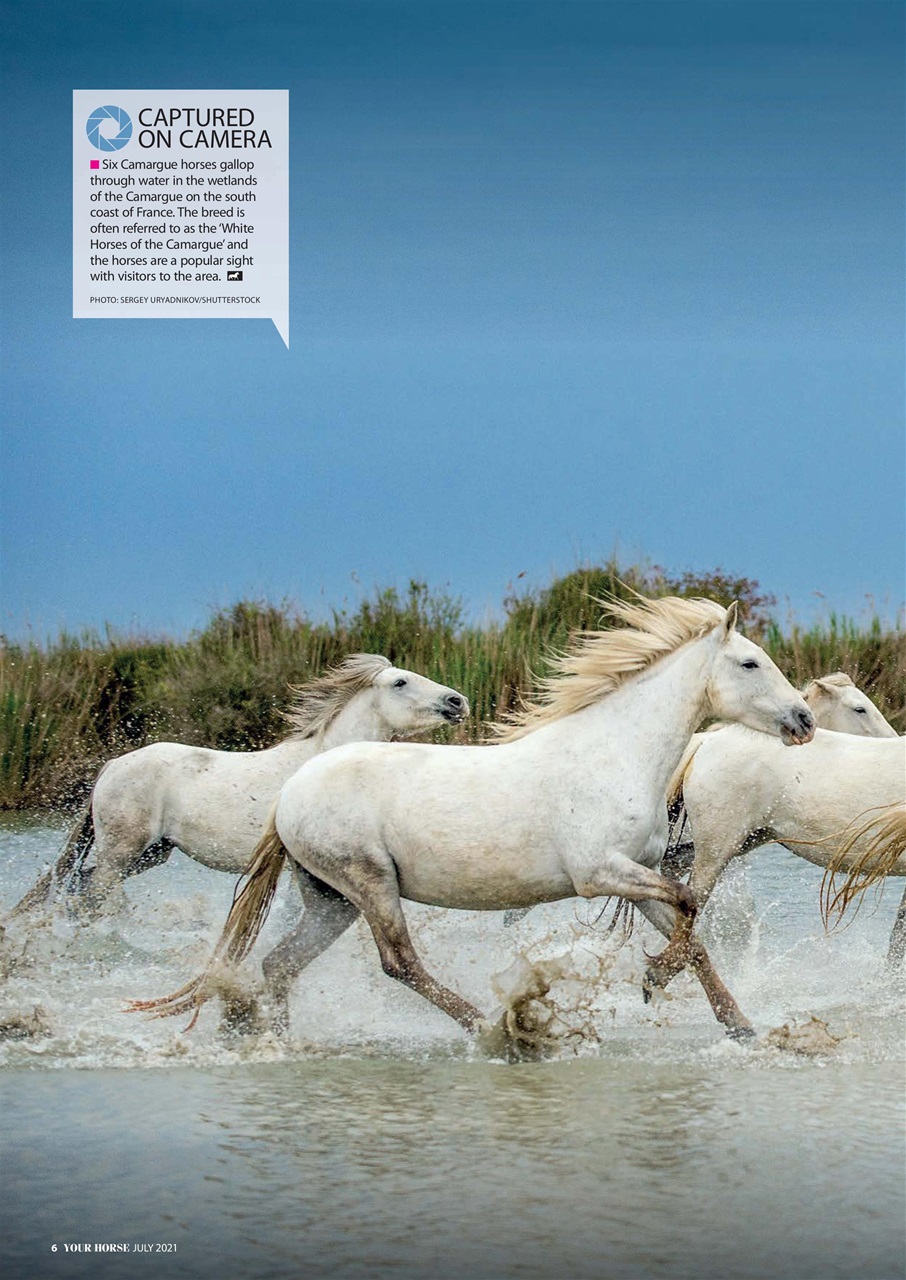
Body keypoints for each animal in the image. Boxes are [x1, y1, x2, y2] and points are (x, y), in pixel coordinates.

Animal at [7, 654, 468, 919]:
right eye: (400, 682)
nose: (458, 702)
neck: (318, 762)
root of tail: (111, 766)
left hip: (152, 853)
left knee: (82, 885)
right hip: (121, 850)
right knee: (99, 890)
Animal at [131, 596, 815, 1046]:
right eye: (750, 663)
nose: (804, 720)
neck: (615, 752)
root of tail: (289, 792)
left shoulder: (637, 874)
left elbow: (693, 935)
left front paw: (737, 1024)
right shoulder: (600, 873)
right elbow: (693, 903)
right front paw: (653, 979)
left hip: (331, 899)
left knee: (279, 965)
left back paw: (271, 1040)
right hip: (370, 883)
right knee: (399, 962)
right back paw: (493, 1029)